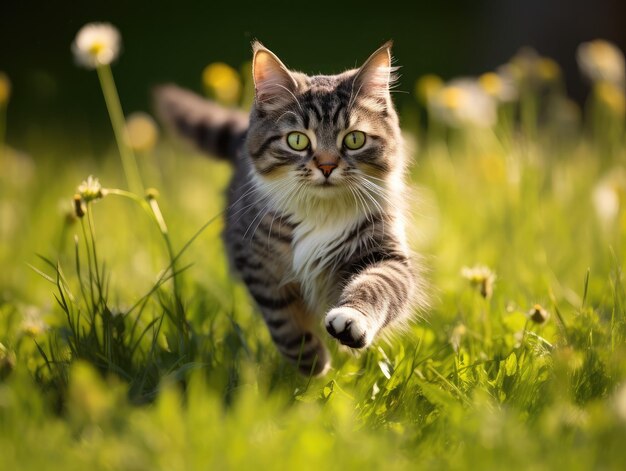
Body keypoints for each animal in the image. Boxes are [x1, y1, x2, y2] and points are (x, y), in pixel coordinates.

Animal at [154, 42, 426, 378]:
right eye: (297, 140)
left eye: (354, 139)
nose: (327, 166)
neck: (321, 212)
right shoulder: (258, 266)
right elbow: (284, 324)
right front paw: (312, 364)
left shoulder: (386, 255)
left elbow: (375, 287)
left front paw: (350, 322)